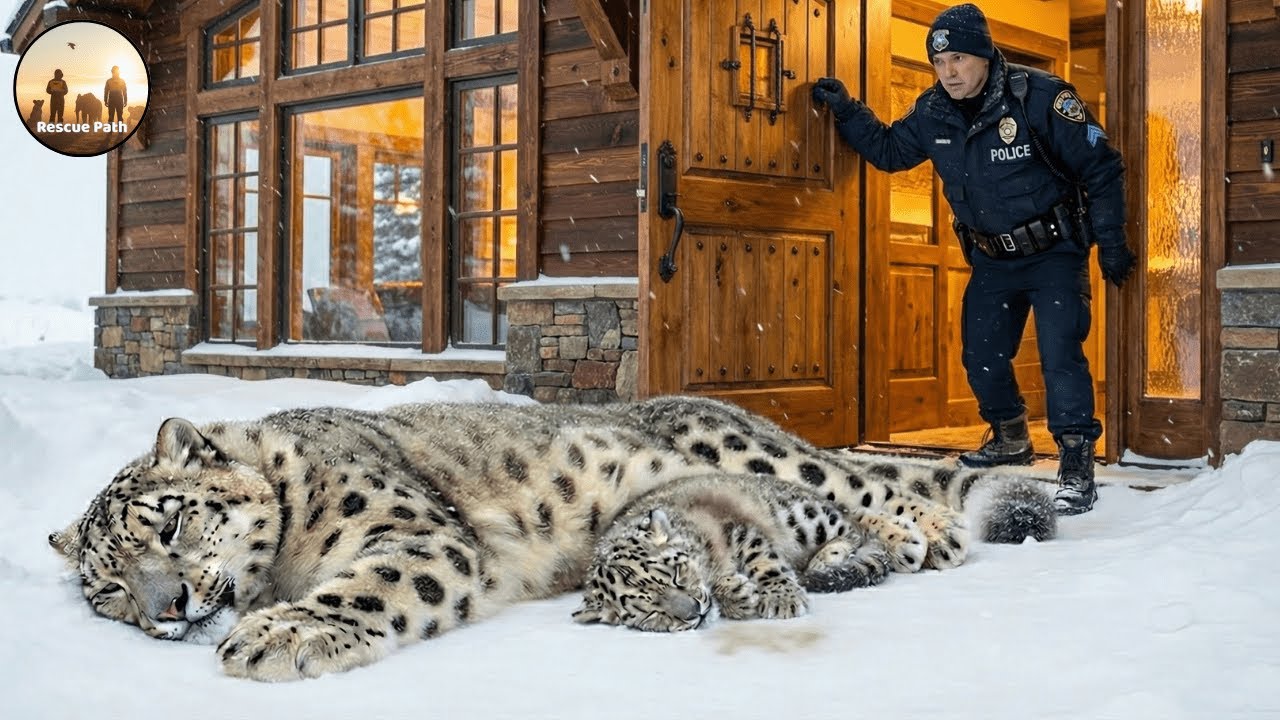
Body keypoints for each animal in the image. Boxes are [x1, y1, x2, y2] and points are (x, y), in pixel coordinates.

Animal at [573, 473, 893, 632]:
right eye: (651, 613)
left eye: (676, 574)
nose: (694, 613)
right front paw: (738, 594)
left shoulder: (736, 529)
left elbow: (764, 563)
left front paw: (782, 600)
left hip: (807, 518)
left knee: (858, 533)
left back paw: (823, 560)